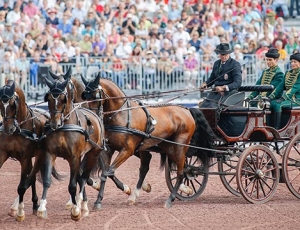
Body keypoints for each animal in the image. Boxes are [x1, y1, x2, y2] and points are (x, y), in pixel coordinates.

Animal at [0, 80, 52, 221]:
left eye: (13, 103)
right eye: (0, 103)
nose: (7, 129)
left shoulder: (25, 158)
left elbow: (22, 186)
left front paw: (20, 212)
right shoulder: (3, 154)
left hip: (40, 156)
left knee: (32, 177)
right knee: (32, 177)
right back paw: (34, 204)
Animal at [33, 72, 105, 221]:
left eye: (63, 98)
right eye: (49, 98)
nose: (54, 124)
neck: (64, 126)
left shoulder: (74, 157)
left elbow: (72, 185)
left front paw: (75, 210)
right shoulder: (50, 154)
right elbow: (47, 180)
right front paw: (42, 208)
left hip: (93, 153)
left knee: (83, 178)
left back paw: (82, 204)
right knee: (81, 177)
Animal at [79, 73, 216, 208]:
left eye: (96, 97)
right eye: (85, 97)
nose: (92, 120)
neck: (121, 115)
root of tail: (187, 110)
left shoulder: (127, 150)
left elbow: (109, 171)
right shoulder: (108, 149)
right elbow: (105, 173)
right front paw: (98, 201)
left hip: (180, 146)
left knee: (181, 173)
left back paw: (170, 199)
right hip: (167, 147)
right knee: (173, 168)